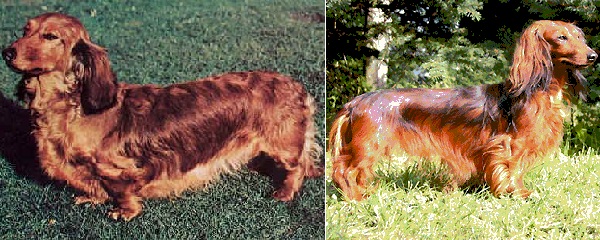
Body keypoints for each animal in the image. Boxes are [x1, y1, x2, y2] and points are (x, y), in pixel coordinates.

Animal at [1, 12, 324, 220]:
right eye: (25, 30)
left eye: (50, 36)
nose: (7, 52)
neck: (72, 108)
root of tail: (298, 88)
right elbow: (95, 186)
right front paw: (91, 198)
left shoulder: (120, 169)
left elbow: (121, 191)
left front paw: (124, 212)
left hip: (284, 146)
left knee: (298, 167)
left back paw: (283, 193)